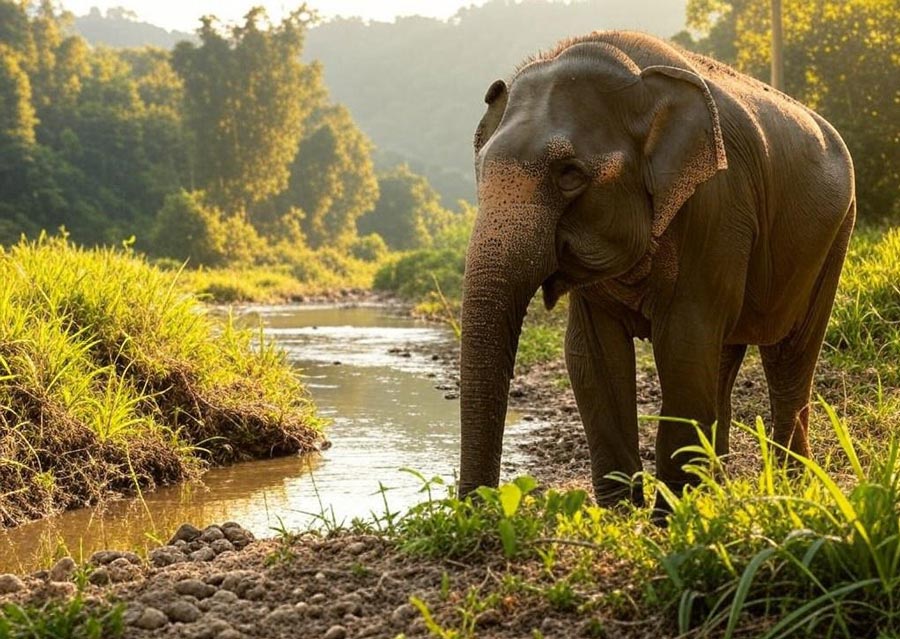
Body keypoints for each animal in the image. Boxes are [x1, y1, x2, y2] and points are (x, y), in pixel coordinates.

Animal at [460, 30, 856, 510]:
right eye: (481, 171)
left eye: (570, 174)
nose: (479, 510)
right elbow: (591, 356)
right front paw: (622, 513)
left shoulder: (715, 205)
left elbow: (683, 345)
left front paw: (671, 515)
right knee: (722, 357)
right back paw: (719, 487)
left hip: (835, 236)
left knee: (789, 355)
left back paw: (790, 484)